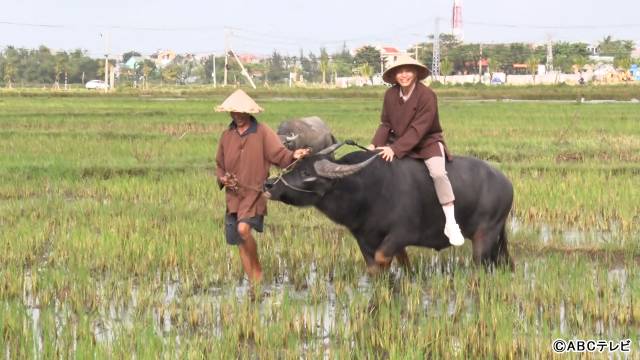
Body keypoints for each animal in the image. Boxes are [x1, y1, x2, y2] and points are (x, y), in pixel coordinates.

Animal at [262, 143, 512, 272]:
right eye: (294, 164)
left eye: (306, 173)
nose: (269, 185)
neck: (366, 191)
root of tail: (506, 183)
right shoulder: (363, 238)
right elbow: (378, 266)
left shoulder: (402, 233)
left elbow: (383, 258)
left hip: (485, 235)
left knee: (482, 263)